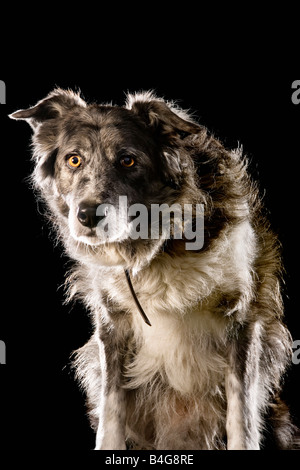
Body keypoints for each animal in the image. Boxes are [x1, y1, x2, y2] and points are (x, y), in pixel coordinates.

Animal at [10, 89, 298, 452]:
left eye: (128, 160)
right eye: (73, 160)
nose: (87, 215)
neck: (157, 247)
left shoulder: (243, 320)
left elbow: (241, 417)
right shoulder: (112, 323)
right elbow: (112, 411)